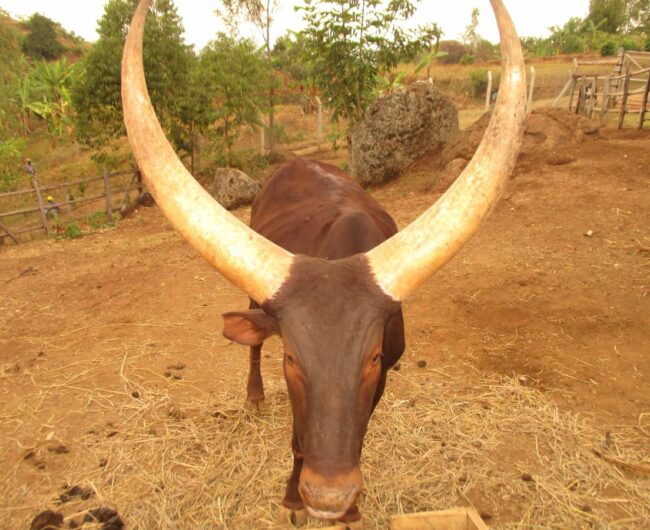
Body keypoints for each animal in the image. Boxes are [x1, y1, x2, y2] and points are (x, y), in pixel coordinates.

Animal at [121, 0, 526, 524]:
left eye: (371, 357)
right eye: (293, 358)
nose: (329, 498)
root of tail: (294, 162)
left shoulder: (383, 377)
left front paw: (349, 510)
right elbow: (298, 438)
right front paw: (296, 499)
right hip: (251, 297)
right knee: (252, 343)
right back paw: (254, 396)